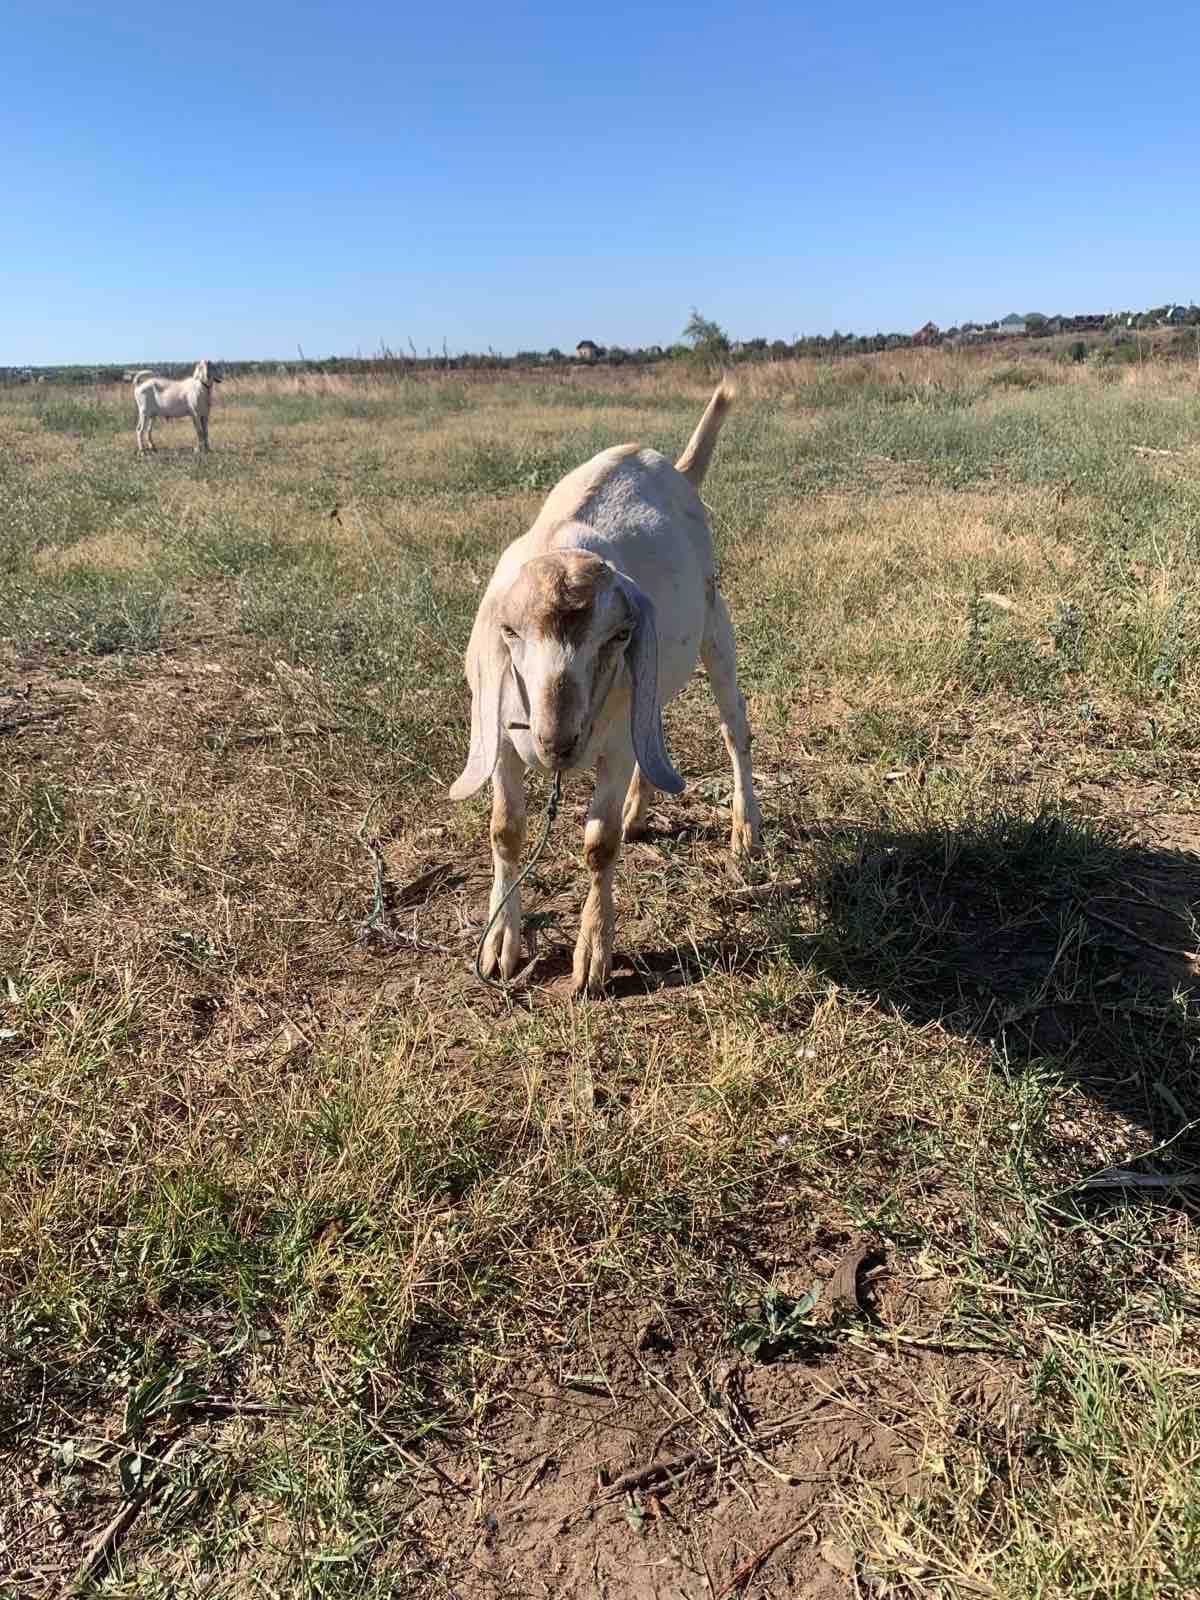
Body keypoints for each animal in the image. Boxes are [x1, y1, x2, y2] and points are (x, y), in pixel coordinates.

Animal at [451, 380, 761, 992]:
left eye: (618, 634)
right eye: (509, 632)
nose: (557, 743)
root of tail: (676, 469)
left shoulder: (612, 744)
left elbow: (599, 844)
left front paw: (593, 956)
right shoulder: (500, 742)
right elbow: (505, 830)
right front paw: (499, 945)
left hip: (716, 626)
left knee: (733, 724)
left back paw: (746, 829)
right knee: (655, 730)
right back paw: (640, 811)